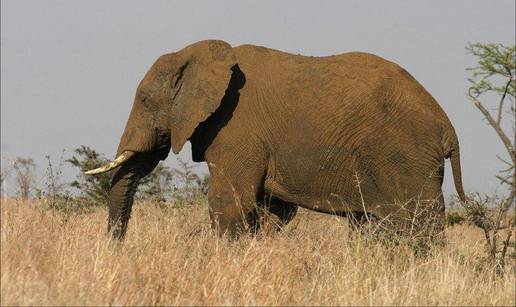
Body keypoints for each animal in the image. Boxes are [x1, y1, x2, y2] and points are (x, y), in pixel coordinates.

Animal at [86, 39, 466, 241]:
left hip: (405, 157)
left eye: (145, 100)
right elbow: (272, 210)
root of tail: (448, 127)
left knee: (414, 222)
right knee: (369, 224)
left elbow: (228, 201)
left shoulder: (235, 128)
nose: (116, 249)